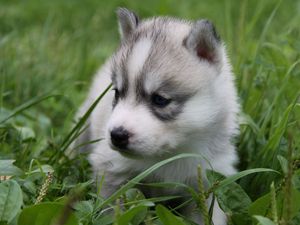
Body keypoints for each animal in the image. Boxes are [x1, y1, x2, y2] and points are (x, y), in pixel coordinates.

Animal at [77, 7, 239, 224]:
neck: (170, 155)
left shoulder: (208, 182)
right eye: (117, 93)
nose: (117, 135)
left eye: (160, 99)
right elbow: (111, 210)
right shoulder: (112, 170)